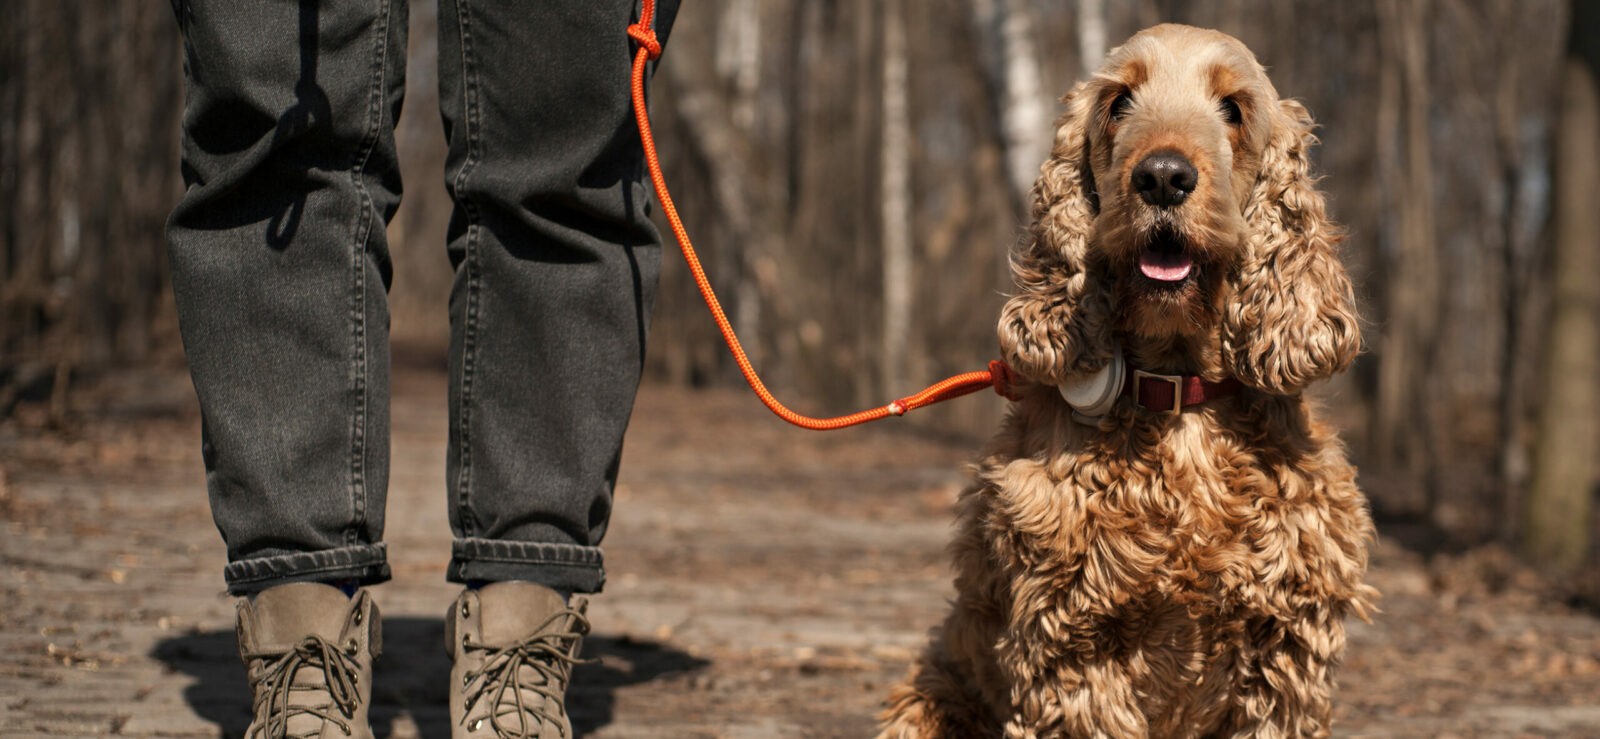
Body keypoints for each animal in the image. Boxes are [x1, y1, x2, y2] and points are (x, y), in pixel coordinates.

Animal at [876, 24, 1376, 739]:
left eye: (1234, 109)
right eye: (1118, 103)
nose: (1163, 177)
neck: (1178, 398)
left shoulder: (1285, 651)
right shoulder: (1076, 647)